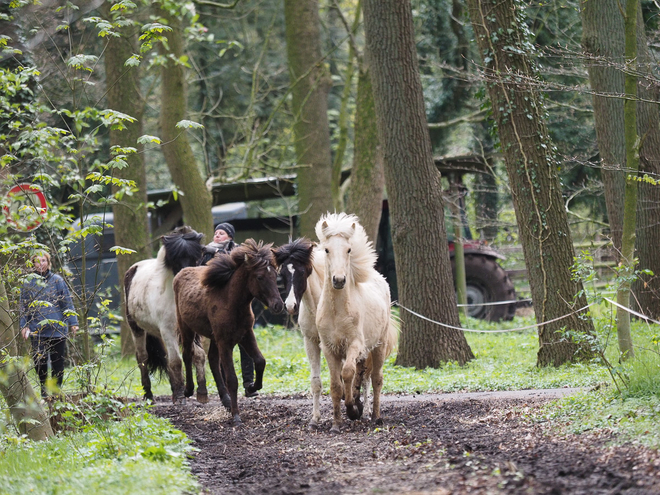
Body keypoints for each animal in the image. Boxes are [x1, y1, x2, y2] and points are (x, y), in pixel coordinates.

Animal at [124, 227, 206, 404]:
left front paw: (202, 392)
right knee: (143, 358)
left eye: (196, 257)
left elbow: (199, 355)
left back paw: (174, 391)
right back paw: (148, 395)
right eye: (175, 259)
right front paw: (182, 396)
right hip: (137, 329)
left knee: (166, 357)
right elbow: (176, 361)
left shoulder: (191, 331)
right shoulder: (168, 330)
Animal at [173, 238, 284, 424]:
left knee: (212, 359)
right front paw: (237, 415)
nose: (278, 305)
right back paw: (188, 390)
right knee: (187, 354)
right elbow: (232, 378)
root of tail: (181, 272)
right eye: (259, 277)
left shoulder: (246, 335)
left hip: (213, 336)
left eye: (275, 276)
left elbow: (260, 361)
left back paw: (225, 400)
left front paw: (252, 387)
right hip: (186, 327)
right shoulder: (225, 341)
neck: (232, 302)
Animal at [314, 213, 398, 434]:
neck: (337, 312)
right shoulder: (329, 349)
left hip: (378, 346)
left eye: (348, 250)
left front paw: (352, 410)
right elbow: (336, 385)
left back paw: (375, 416)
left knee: (376, 379)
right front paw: (336, 424)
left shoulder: (354, 344)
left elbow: (347, 373)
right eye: (327, 250)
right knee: (361, 374)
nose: (339, 280)